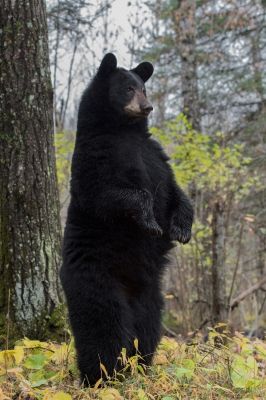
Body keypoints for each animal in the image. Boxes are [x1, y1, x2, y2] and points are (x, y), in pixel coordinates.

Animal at [60, 52, 193, 384]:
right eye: (128, 88)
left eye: (143, 87)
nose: (147, 107)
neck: (124, 130)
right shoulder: (96, 157)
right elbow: (109, 194)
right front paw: (150, 222)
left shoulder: (155, 156)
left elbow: (175, 190)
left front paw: (182, 229)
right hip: (98, 282)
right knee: (104, 328)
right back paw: (101, 376)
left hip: (151, 295)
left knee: (147, 329)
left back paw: (141, 367)